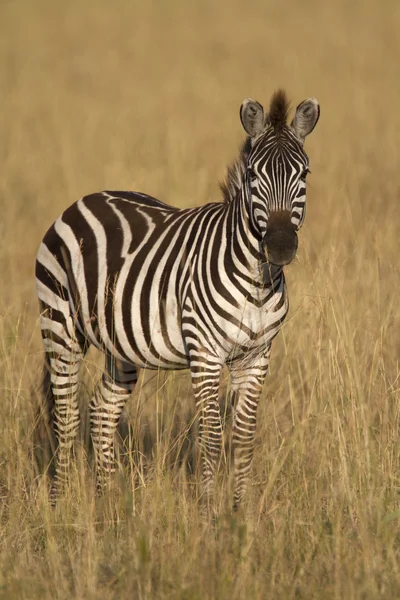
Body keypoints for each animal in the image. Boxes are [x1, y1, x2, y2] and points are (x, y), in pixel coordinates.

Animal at [36, 90, 320, 510]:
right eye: (254, 176)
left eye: (304, 175)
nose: (281, 246)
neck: (258, 280)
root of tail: (85, 199)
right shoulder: (204, 353)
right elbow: (212, 436)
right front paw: (209, 514)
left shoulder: (256, 356)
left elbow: (244, 437)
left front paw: (241, 512)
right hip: (60, 326)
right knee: (67, 414)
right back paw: (58, 504)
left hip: (121, 345)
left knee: (101, 409)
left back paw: (108, 504)